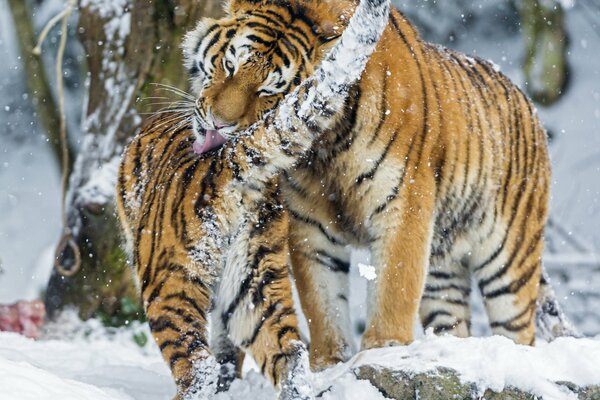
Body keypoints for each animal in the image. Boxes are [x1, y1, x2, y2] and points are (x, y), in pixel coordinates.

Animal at [116, 0, 392, 398]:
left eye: (267, 89)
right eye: (229, 66)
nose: (218, 125)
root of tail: (228, 160)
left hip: (171, 278)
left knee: (196, 366)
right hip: (255, 282)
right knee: (291, 355)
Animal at [186, 0, 576, 372]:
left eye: (271, 89)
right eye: (230, 65)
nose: (219, 124)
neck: (324, 151)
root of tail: (527, 103)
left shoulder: (403, 206)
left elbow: (394, 285)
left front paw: (383, 348)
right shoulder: (308, 223)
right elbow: (321, 301)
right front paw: (328, 363)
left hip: (509, 260)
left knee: (519, 330)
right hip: (443, 271)